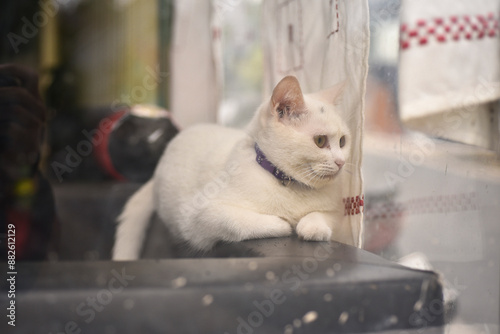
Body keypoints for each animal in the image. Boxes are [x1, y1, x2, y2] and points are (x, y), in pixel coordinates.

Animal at [113, 76, 352, 260]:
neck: (289, 185)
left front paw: (313, 227)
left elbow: (320, 217)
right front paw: (285, 223)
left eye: (342, 141)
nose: (341, 161)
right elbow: (248, 223)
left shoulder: (336, 213)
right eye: (320, 141)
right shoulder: (200, 216)